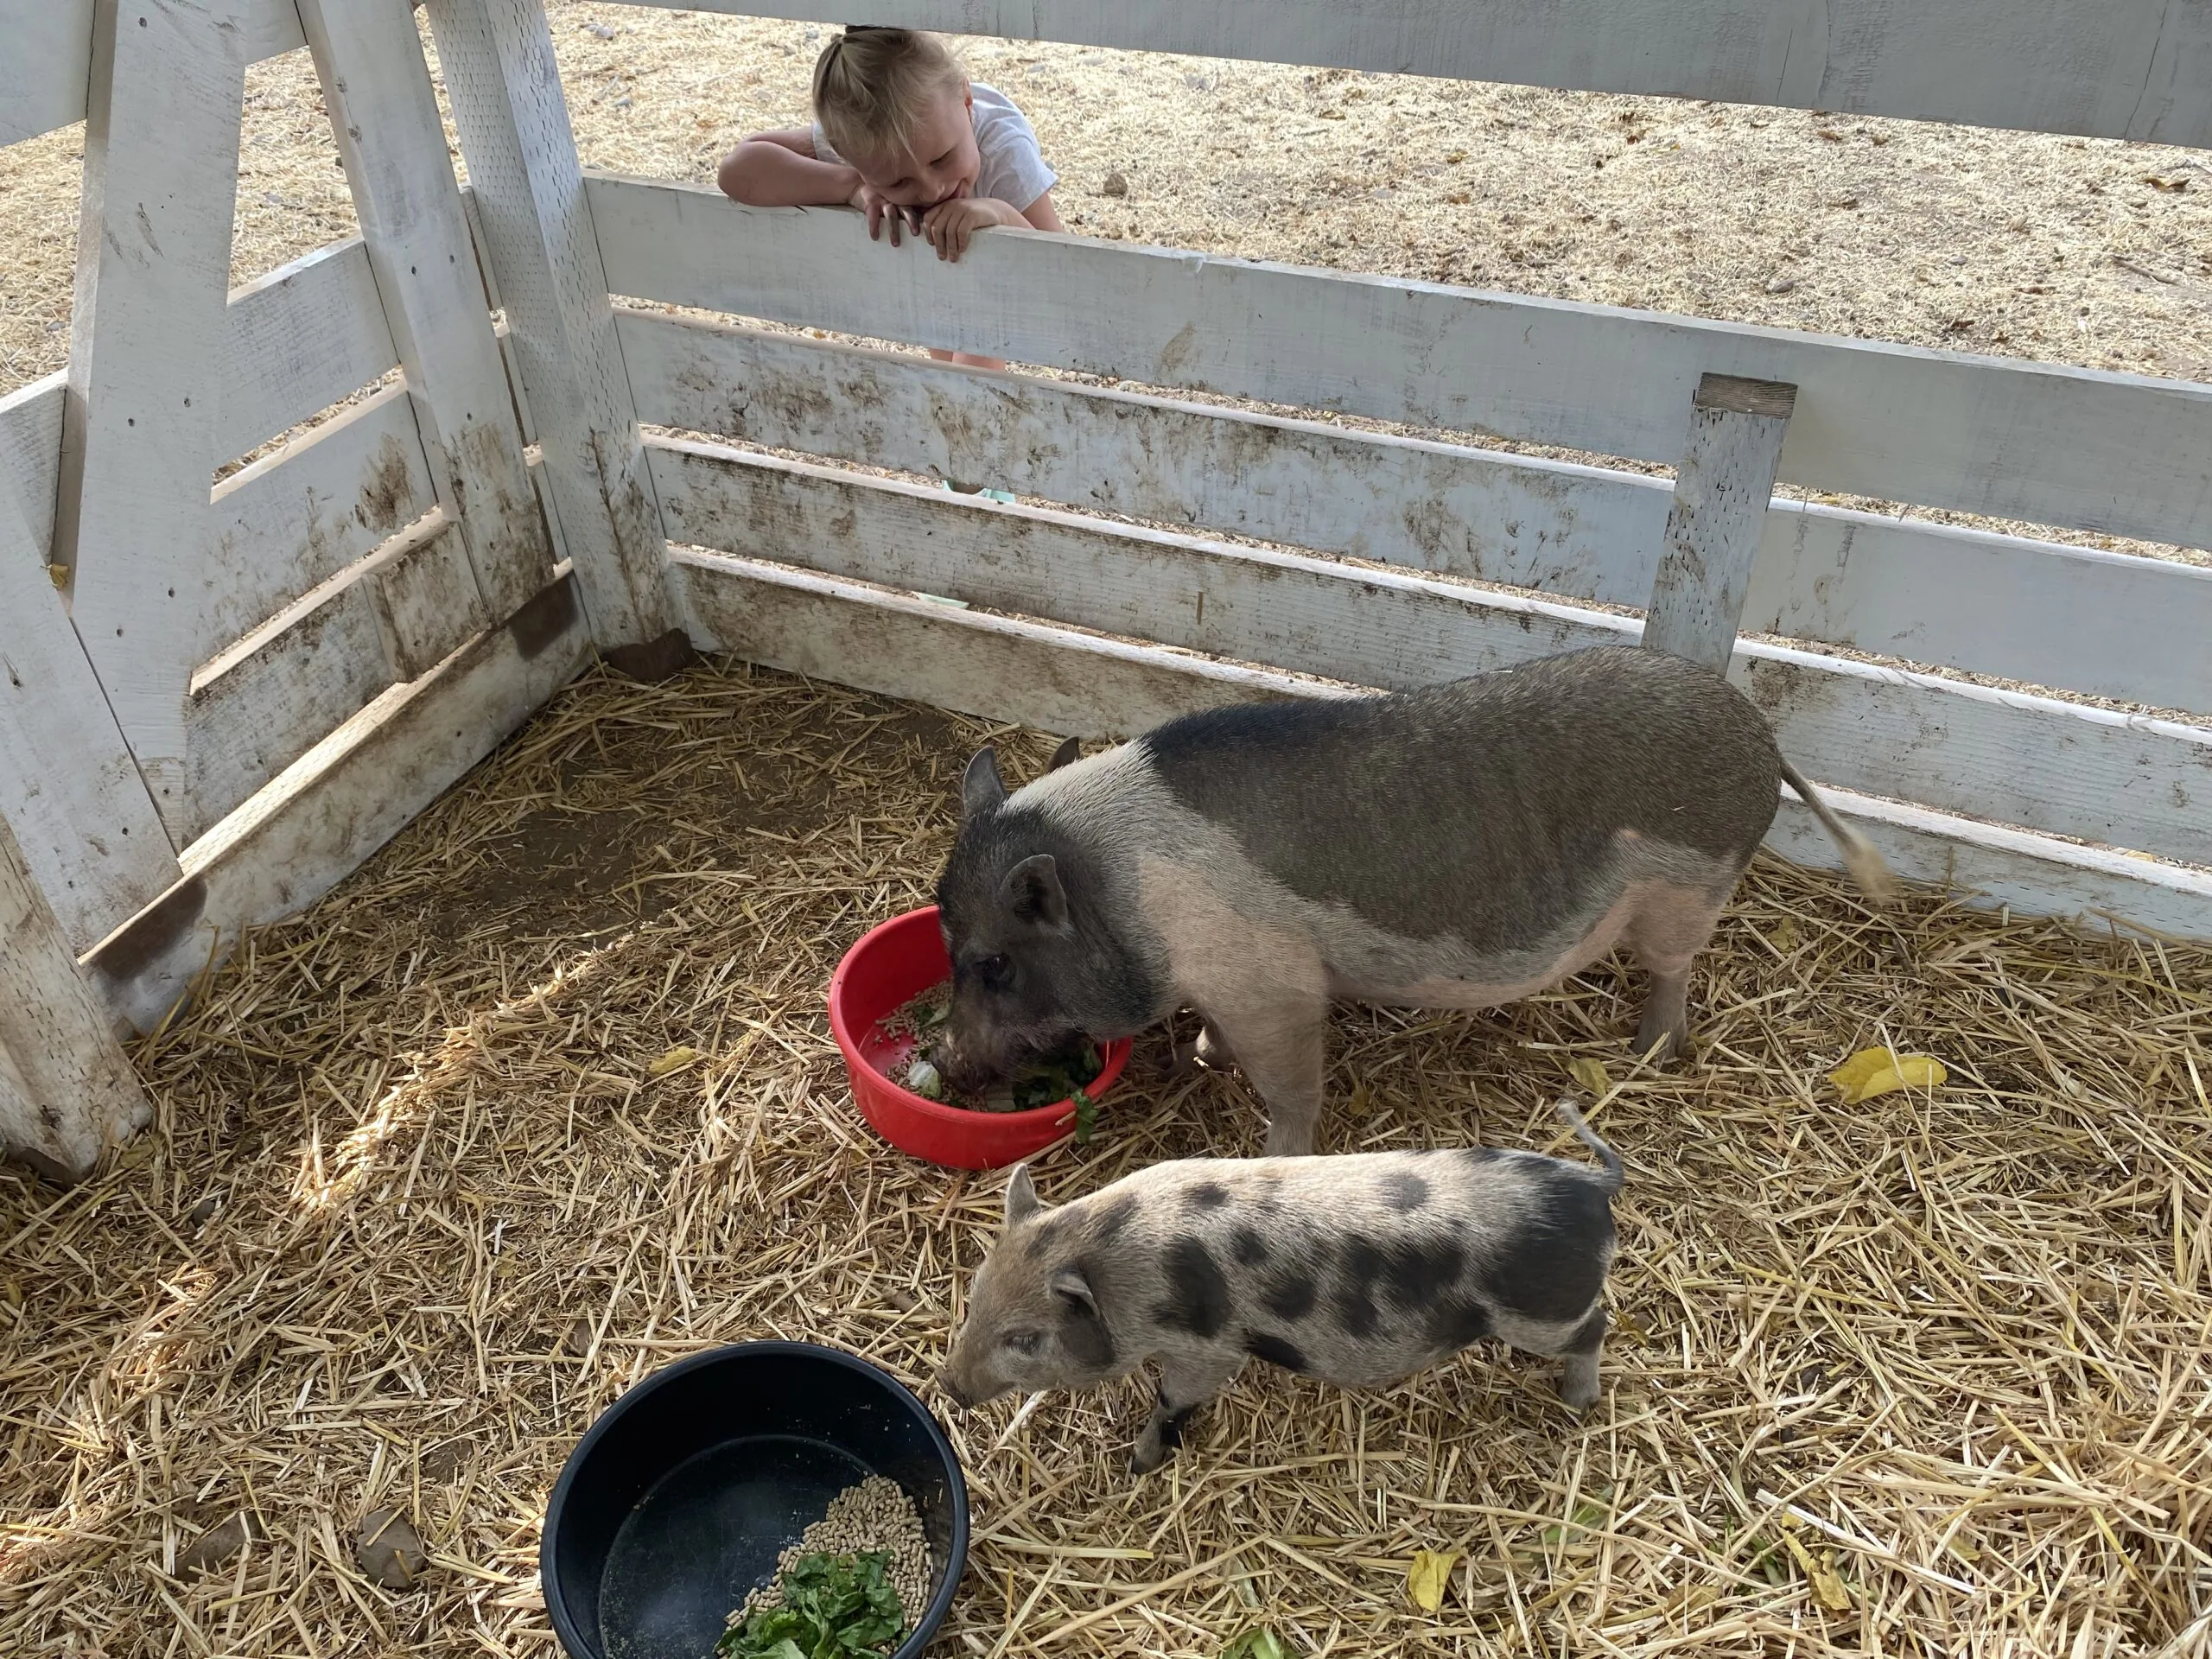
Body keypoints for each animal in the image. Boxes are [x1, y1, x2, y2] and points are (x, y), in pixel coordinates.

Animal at [931, 645, 1889, 1155]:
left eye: (993, 963)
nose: (947, 1062)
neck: (1119, 886)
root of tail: (1759, 732)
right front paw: (1204, 1057)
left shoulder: (1274, 986)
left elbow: (1292, 1091)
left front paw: (1271, 1151)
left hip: (1691, 891)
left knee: (1674, 972)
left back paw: (1650, 1050)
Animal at [938, 1100, 1624, 1472]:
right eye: (973, 1300)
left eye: (1026, 1339)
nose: (948, 1386)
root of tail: (1592, 1185)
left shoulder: (1210, 1347)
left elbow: (1174, 1398)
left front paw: (1138, 1464)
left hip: (1540, 1313)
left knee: (1598, 1325)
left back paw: (1579, 1403)